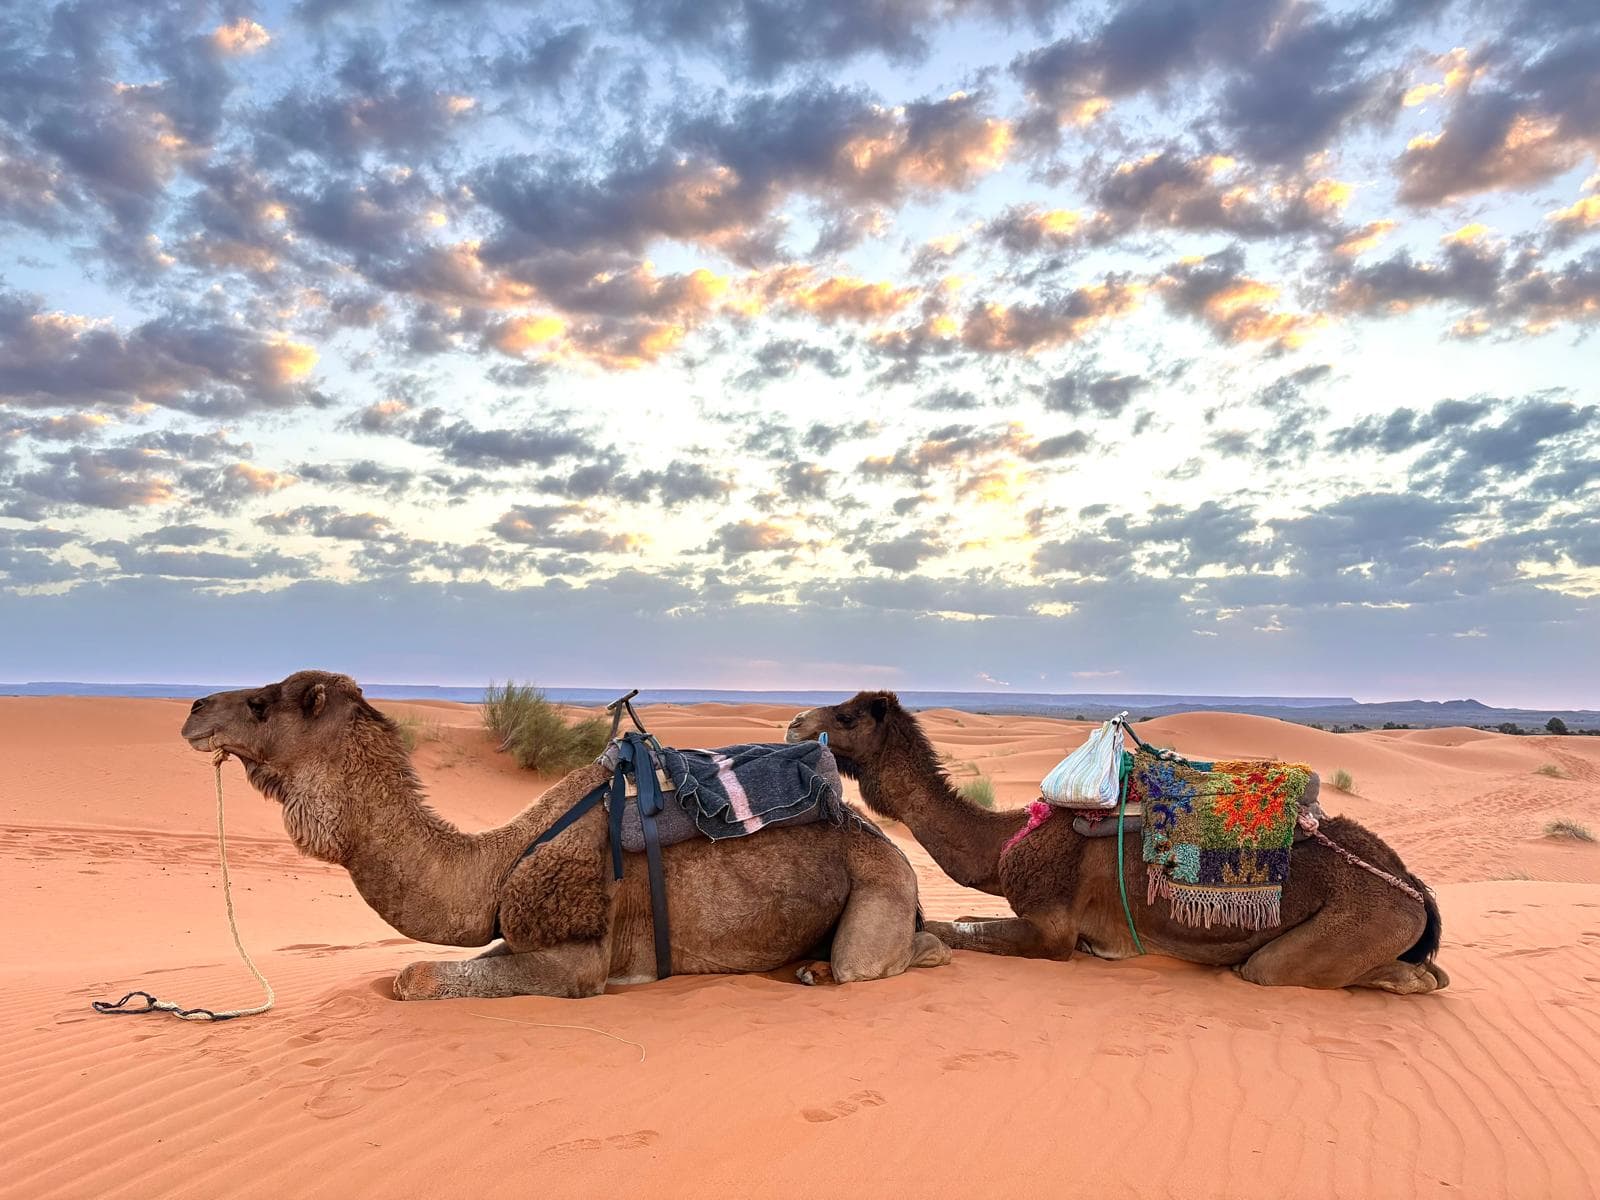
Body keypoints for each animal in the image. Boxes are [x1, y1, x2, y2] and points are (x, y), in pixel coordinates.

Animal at [180, 670, 949, 1000]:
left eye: (262, 703)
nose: (193, 708)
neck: (495, 859)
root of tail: (892, 851)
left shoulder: (583, 958)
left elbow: (413, 976)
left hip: (881, 887)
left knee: (886, 956)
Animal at [787, 692, 1448, 995]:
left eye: (847, 716)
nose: (794, 721)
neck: (1007, 841)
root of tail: (1415, 888)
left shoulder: (1052, 929)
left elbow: (960, 929)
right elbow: (966, 919)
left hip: (1356, 922)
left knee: (1287, 968)